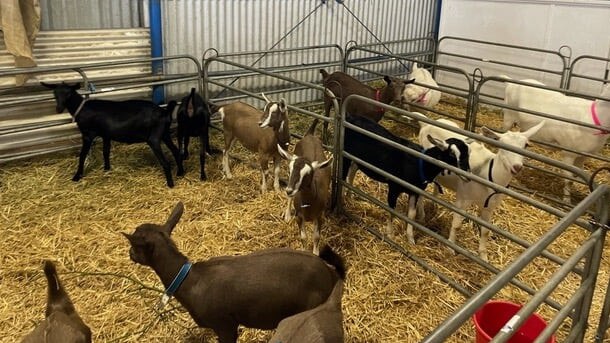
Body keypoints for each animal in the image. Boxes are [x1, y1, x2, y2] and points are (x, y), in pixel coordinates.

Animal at [40, 82, 183, 188]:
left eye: (68, 93)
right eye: (54, 93)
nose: (58, 109)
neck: (80, 108)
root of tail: (164, 112)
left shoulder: (88, 134)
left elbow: (82, 156)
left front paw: (77, 176)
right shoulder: (106, 134)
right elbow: (105, 151)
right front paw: (107, 169)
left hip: (154, 138)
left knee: (165, 162)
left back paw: (170, 184)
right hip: (164, 134)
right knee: (176, 151)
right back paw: (180, 173)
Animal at [276, 119, 330, 256]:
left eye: (307, 174)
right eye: (289, 170)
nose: (289, 190)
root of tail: (309, 134)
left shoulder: (319, 216)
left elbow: (316, 236)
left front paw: (315, 253)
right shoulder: (299, 217)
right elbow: (303, 237)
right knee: (290, 200)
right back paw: (287, 215)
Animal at [342, 115, 470, 242]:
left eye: (468, 153)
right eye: (452, 154)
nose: (468, 174)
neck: (421, 163)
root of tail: (350, 117)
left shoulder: (415, 191)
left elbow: (411, 214)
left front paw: (410, 239)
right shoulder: (394, 187)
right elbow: (392, 209)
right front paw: (390, 234)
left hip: (357, 159)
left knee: (352, 173)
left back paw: (349, 196)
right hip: (346, 155)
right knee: (344, 175)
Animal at [418, 117, 540, 262]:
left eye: (526, 145)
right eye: (502, 145)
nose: (517, 167)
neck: (489, 173)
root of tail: (428, 123)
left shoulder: (489, 207)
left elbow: (485, 232)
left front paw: (483, 256)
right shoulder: (463, 199)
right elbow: (457, 225)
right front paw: (450, 247)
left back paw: (434, 204)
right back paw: (422, 215)